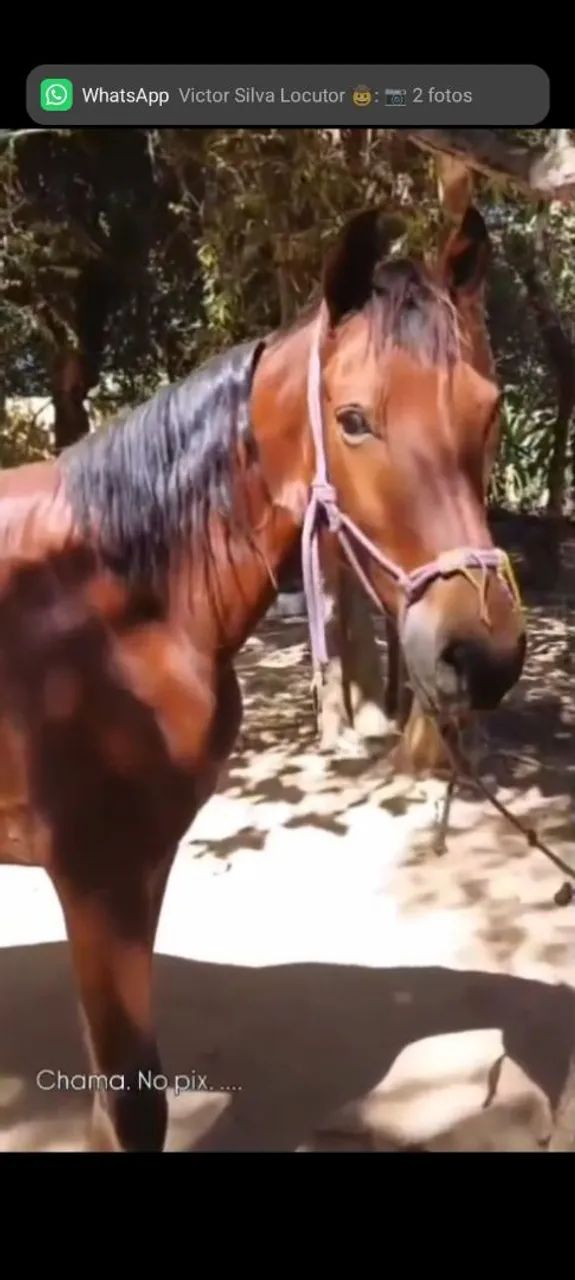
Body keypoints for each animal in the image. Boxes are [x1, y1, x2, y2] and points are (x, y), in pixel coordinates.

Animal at [0, 205, 526, 1152]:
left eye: (491, 409)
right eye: (352, 420)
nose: (481, 653)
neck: (108, 596)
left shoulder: (141, 868)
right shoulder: (93, 878)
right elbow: (133, 1104)